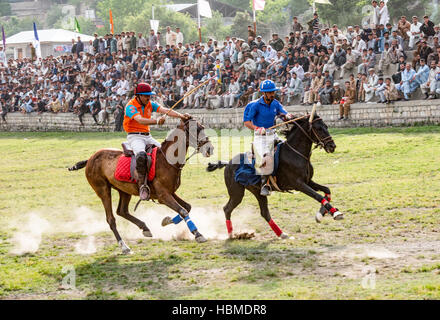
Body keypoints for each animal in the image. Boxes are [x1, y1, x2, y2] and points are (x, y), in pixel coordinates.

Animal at [68, 119, 214, 254]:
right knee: (111, 219)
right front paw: (198, 234)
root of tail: (90, 159)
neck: (167, 160)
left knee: (122, 211)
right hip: (103, 190)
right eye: (196, 130)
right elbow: (183, 210)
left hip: (124, 190)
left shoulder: (171, 192)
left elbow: (187, 207)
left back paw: (145, 228)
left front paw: (167, 221)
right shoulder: (163, 196)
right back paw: (124, 246)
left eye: (202, 127)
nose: (210, 149)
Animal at [208, 114, 342, 239]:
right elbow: (318, 196)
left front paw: (321, 214)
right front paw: (335, 213)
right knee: (227, 209)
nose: (332, 146)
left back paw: (281, 234)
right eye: (318, 128)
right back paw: (231, 234)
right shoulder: (298, 184)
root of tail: (228, 163)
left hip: (257, 191)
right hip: (236, 193)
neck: (295, 153)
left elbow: (327, 191)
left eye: (326, 126)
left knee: (264, 212)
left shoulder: (309, 181)